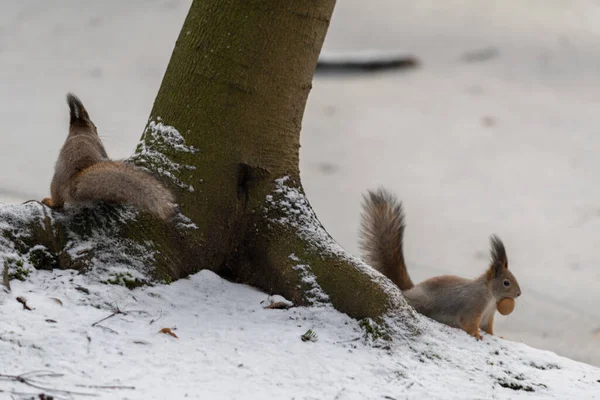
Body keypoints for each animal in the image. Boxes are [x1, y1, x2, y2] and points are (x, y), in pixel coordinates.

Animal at [358, 189, 524, 340]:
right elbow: (469, 323)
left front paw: (496, 335)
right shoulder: (473, 306)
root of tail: (409, 290)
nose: (519, 294)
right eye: (506, 282)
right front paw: (477, 335)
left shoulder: (487, 317)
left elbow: (488, 329)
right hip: (423, 302)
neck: (490, 297)